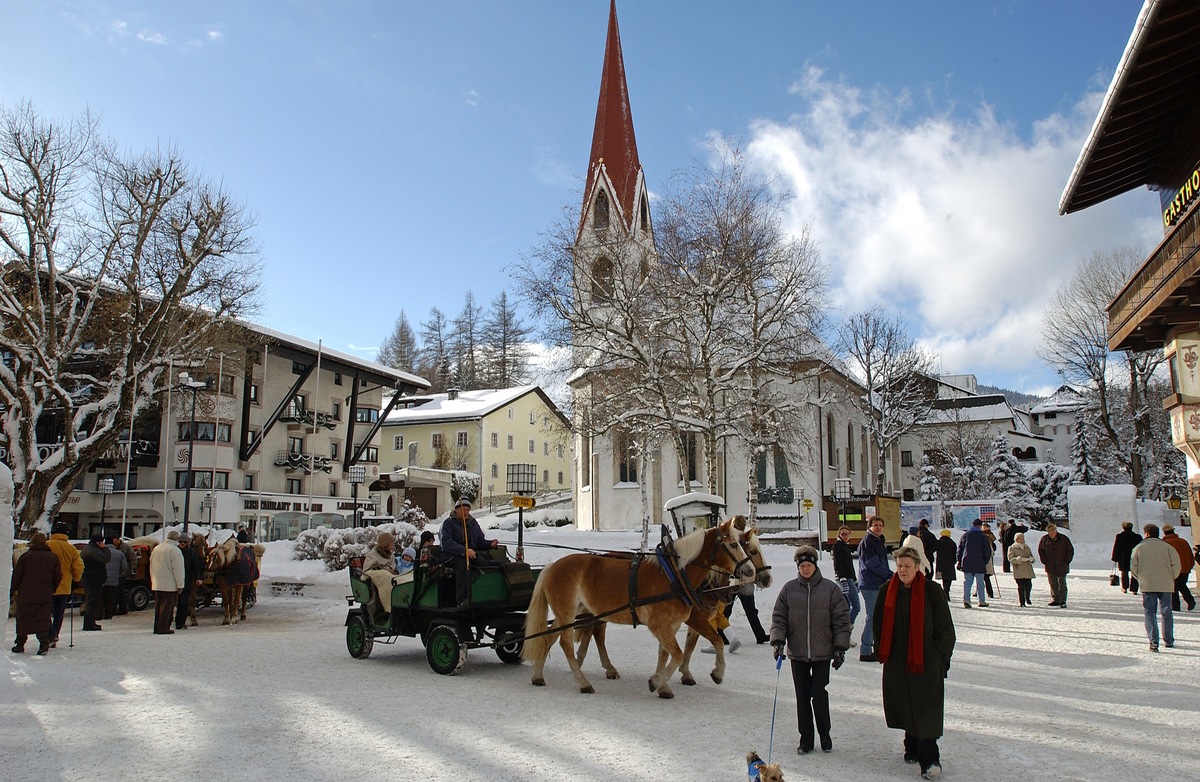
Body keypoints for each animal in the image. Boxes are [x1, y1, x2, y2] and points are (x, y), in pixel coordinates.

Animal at [518, 518, 744, 695]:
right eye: (733, 545)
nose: (748, 571)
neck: (674, 576)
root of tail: (552, 566)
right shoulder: (663, 625)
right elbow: (680, 653)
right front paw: (657, 681)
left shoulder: (670, 626)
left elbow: (670, 653)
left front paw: (664, 685)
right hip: (568, 612)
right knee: (566, 643)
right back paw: (582, 682)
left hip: (570, 612)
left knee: (551, 637)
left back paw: (539, 675)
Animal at [576, 515, 772, 686]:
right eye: (752, 551)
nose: (766, 578)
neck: (681, 576)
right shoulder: (694, 618)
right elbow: (712, 640)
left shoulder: (688, 620)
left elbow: (687, 646)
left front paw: (678, 674)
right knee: (596, 633)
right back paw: (594, 664)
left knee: (592, 630)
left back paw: (588, 661)